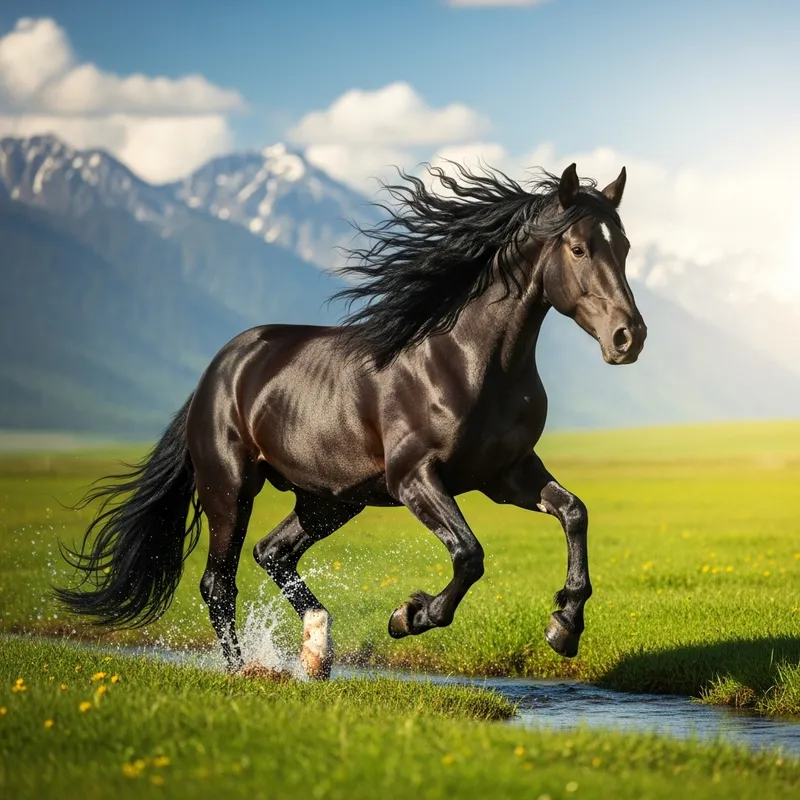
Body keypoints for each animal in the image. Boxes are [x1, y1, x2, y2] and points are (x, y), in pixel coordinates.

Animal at [56, 161, 646, 680]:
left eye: (623, 246)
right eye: (578, 247)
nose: (629, 338)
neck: (469, 361)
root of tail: (217, 372)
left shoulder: (505, 474)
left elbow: (574, 513)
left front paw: (564, 626)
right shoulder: (414, 478)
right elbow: (470, 554)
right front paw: (410, 616)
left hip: (329, 500)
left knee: (271, 552)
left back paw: (317, 651)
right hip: (230, 487)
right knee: (218, 584)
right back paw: (245, 670)